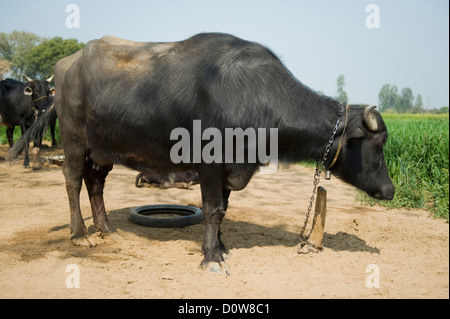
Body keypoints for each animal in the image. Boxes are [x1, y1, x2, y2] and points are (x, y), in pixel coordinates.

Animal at [7, 33, 394, 276]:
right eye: (377, 144)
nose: (389, 190)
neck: (254, 95)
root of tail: (66, 65)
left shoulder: (230, 168)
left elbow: (223, 210)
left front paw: (220, 247)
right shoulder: (209, 163)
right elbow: (213, 209)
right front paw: (211, 258)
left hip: (103, 150)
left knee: (95, 184)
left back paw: (107, 230)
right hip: (74, 138)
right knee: (73, 180)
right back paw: (80, 234)